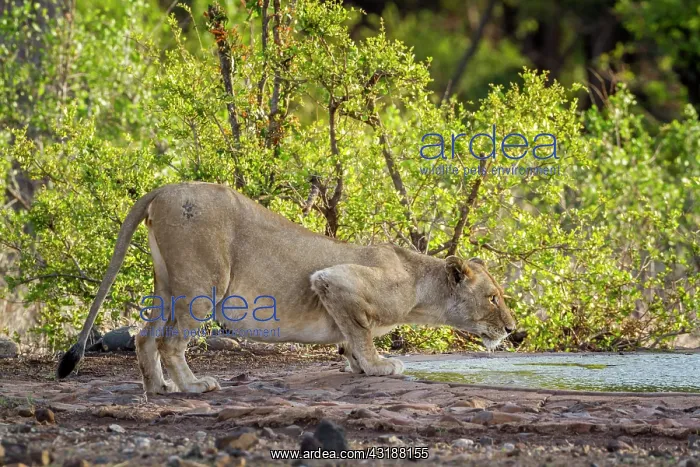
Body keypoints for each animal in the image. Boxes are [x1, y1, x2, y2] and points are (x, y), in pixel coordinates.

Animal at [57, 182, 516, 393]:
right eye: (493, 298)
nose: (514, 330)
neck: (422, 285)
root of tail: (167, 187)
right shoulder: (335, 279)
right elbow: (362, 333)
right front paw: (379, 366)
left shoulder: (337, 294)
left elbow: (351, 336)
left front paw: (356, 365)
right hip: (203, 284)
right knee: (170, 342)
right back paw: (192, 386)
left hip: (168, 285)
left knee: (144, 337)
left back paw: (159, 389)